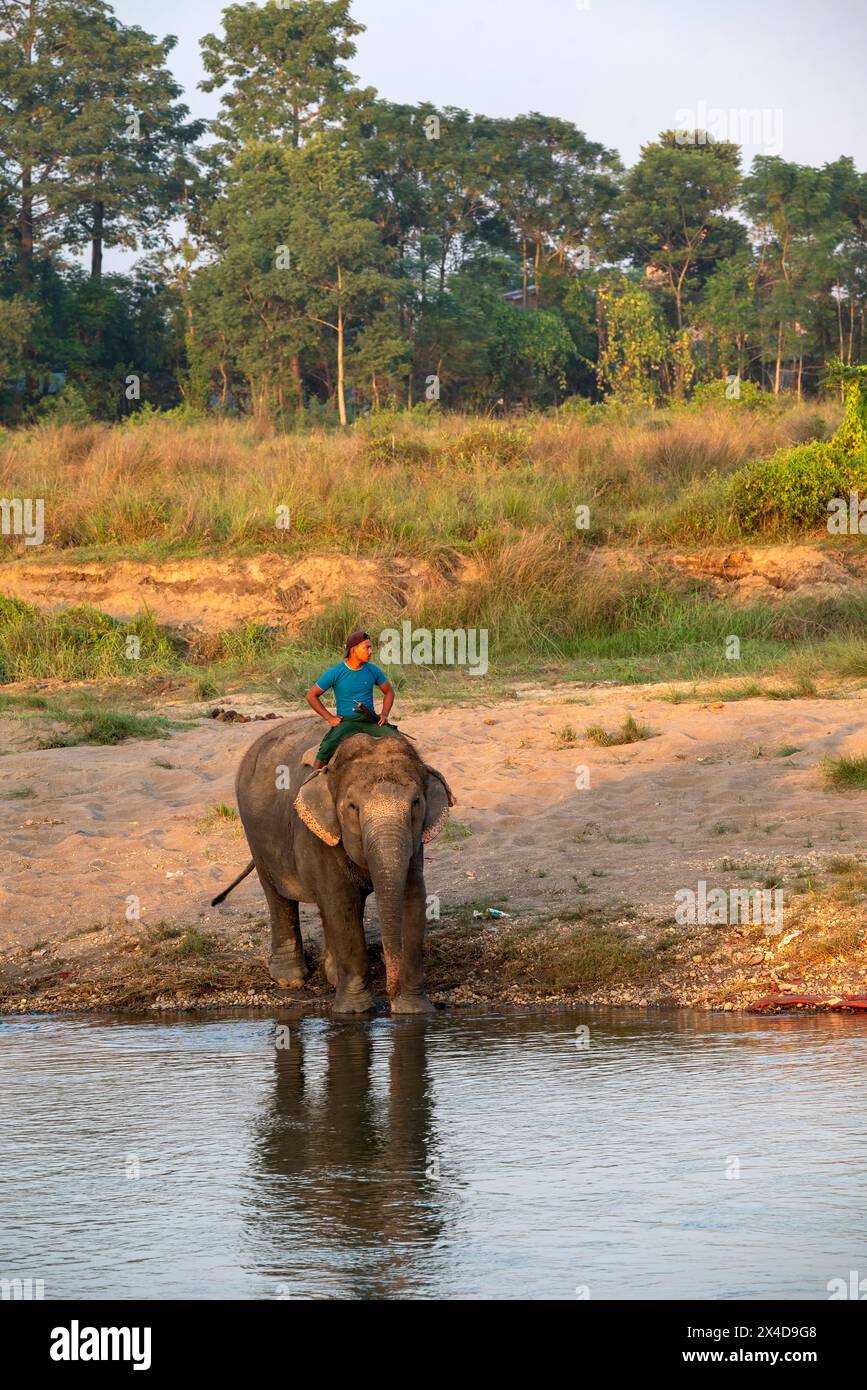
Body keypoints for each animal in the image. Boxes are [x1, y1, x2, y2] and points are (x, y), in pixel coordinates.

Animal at [209, 722, 452, 1017]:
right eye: (353, 806)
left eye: (416, 802)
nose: (390, 991)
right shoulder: (317, 835)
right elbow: (340, 901)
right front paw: (354, 1011)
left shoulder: (415, 846)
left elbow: (413, 900)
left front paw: (413, 1012)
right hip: (255, 835)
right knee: (278, 897)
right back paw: (290, 979)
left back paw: (333, 976)